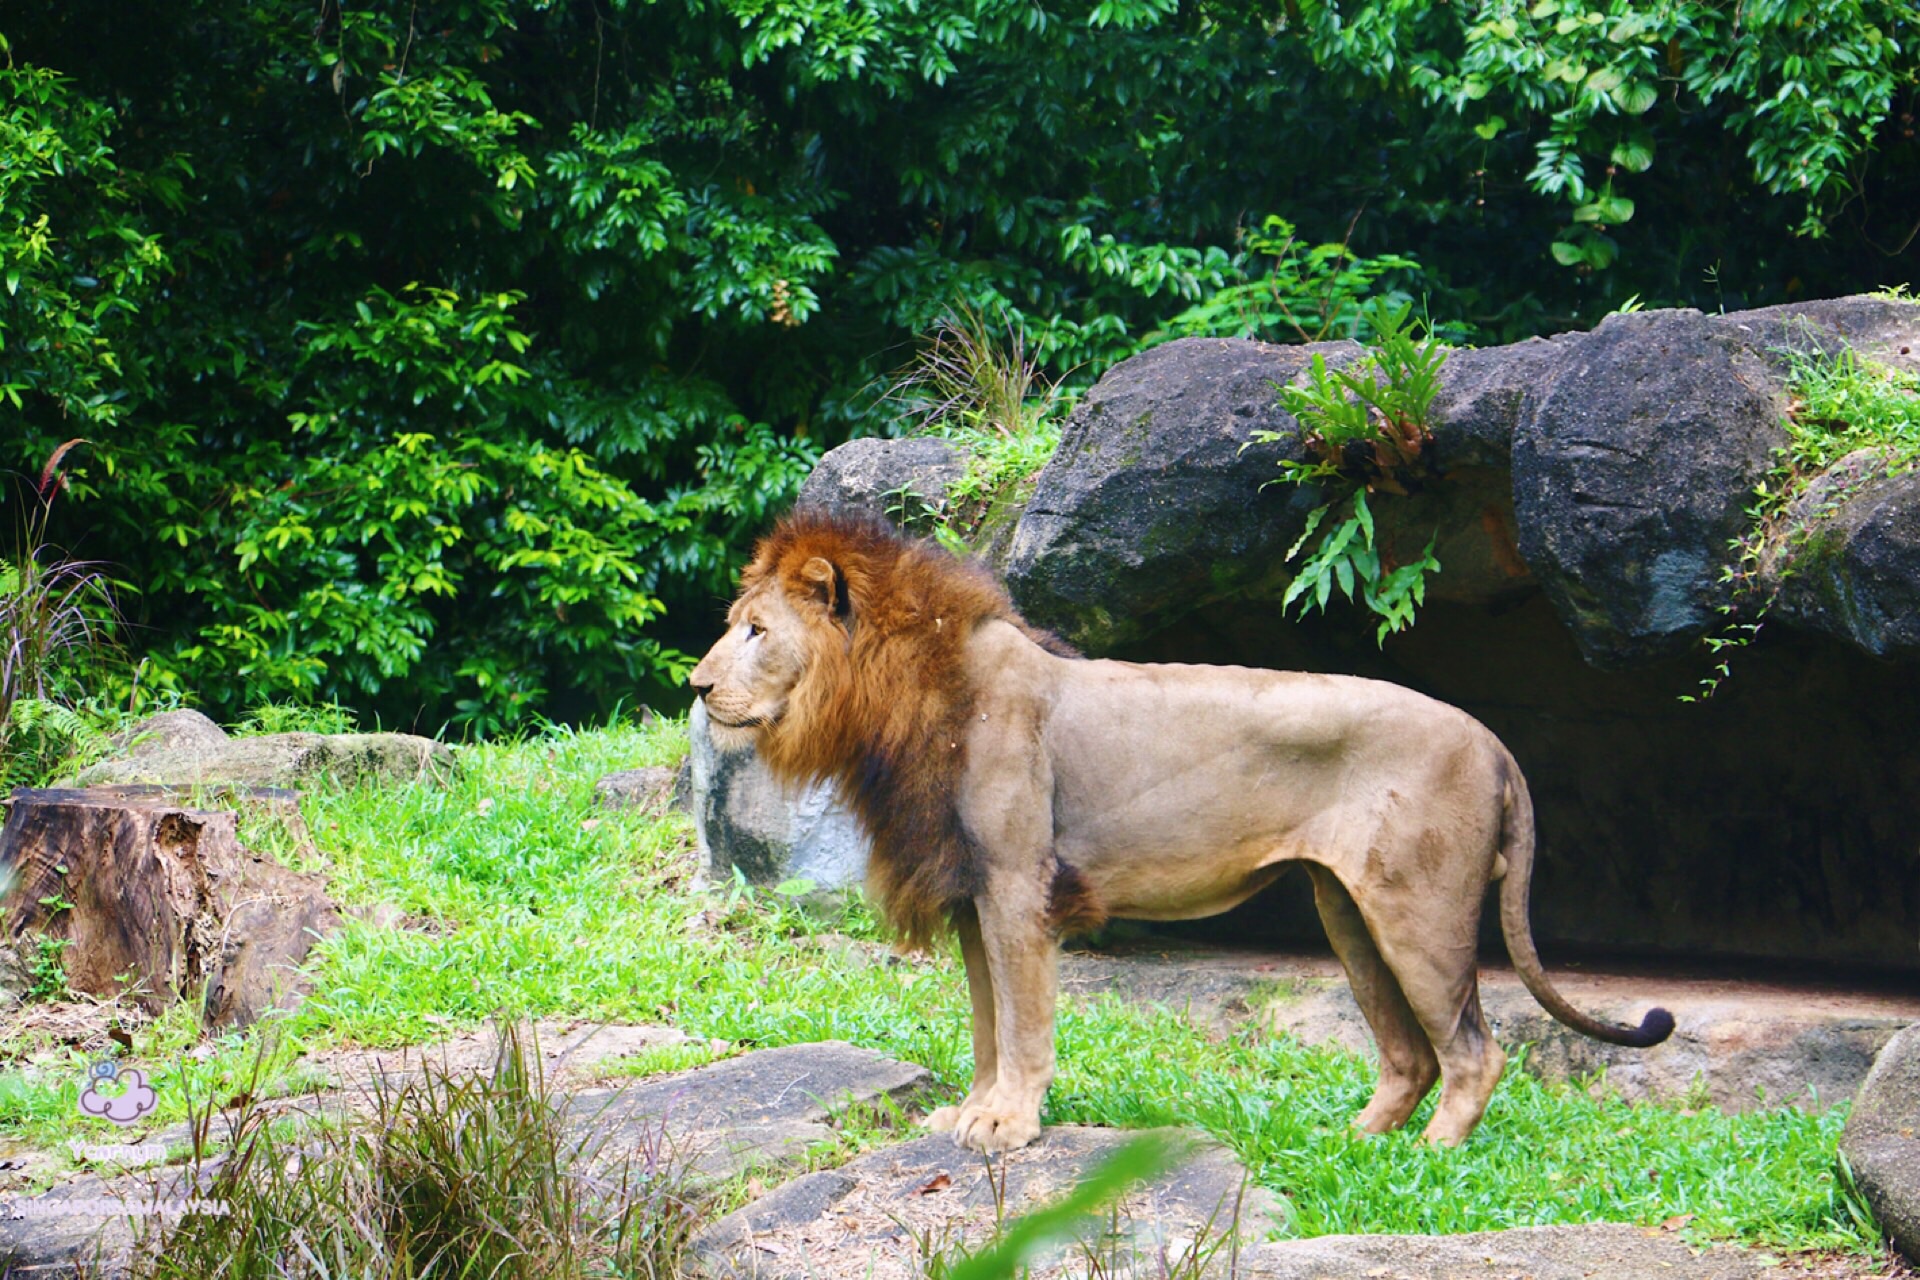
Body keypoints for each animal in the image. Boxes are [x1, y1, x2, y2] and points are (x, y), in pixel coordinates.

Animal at [691, 514, 1666, 1159]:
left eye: (756, 631)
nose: (696, 686)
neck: (898, 699)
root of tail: (1494, 740)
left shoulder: (1017, 884)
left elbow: (1025, 1021)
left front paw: (1008, 1124)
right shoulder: (971, 892)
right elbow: (985, 1021)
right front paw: (968, 1112)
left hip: (1418, 911)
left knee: (1474, 1051)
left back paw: (1431, 1154)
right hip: (1350, 911)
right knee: (1407, 1055)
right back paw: (1354, 1143)